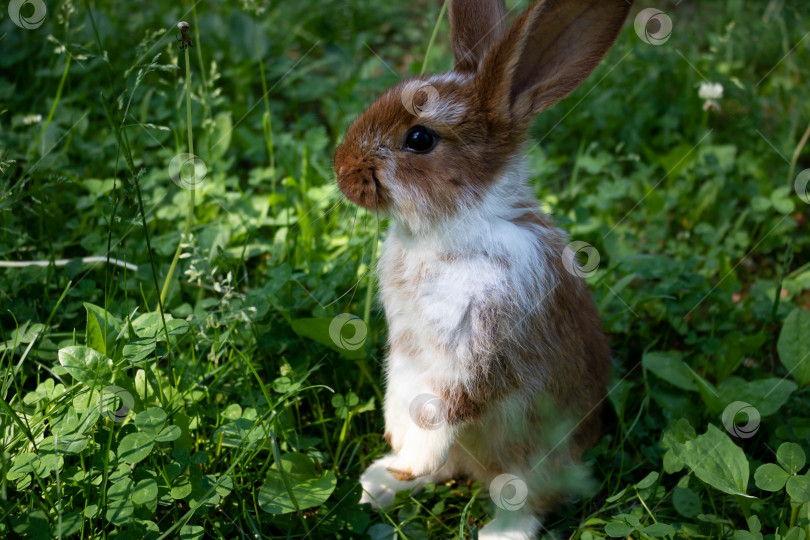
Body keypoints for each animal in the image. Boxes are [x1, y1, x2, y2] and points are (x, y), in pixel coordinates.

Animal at [332, 0, 632, 536]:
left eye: (419, 138)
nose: (341, 170)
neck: (449, 226)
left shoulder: (477, 350)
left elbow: (445, 408)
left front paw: (414, 454)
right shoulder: (406, 349)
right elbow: (399, 391)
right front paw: (398, 446)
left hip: (533, 461)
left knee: (528, 500)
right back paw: (383, 481)